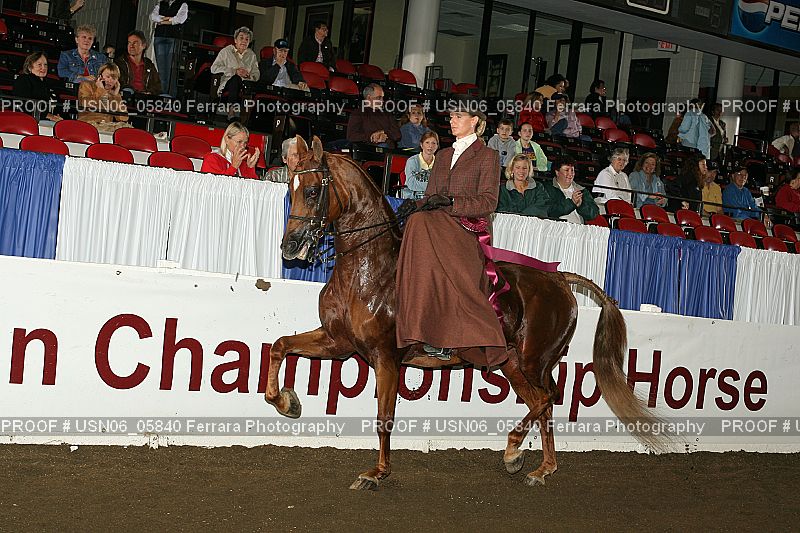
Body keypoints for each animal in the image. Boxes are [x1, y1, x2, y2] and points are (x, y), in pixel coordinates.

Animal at [265, 135, 666, 490]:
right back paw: (540, 469)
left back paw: (513, 451)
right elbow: (280, 345)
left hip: (533, 359)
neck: (368, 270)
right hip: (514, 363)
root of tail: (559, 278)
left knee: (548, 399)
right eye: (291, 188)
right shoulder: (338, 342)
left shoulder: (386, 356)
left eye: (312, 190)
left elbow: (384, 417)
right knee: (543, 404)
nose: (290, 246)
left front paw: (376, 473)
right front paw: (286, 401)